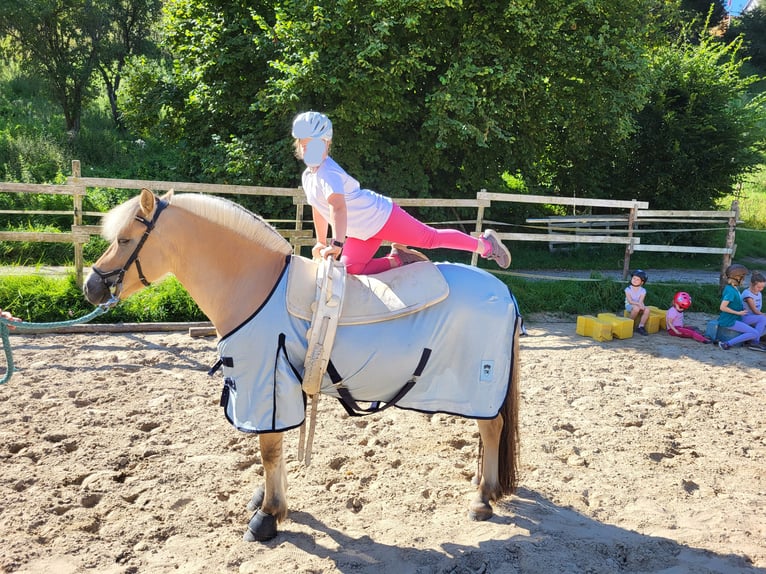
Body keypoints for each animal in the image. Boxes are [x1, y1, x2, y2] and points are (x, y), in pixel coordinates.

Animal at [84, 189, 520, 544]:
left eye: (124, 239)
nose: (91, 286)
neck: (257, 287)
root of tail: (505, 293)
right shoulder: (275, 385)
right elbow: (274, 450)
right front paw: (270, 501)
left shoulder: (266, 383)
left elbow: (268, 449)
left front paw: (268, 516)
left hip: (480, 386)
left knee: (492, 427)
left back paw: (483, 498)